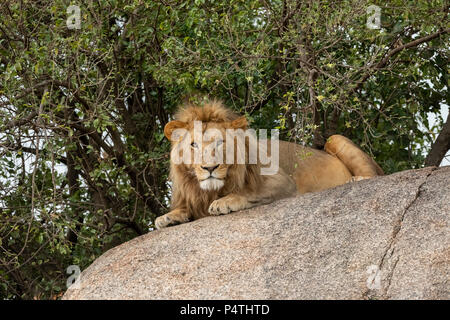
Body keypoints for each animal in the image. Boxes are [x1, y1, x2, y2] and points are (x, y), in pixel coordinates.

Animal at [156, 101, 384, 229]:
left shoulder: (284, 183)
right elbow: (185, 208)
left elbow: (248, 192)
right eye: (193, 145)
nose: (209, 168)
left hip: (336, 139)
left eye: (220, 142)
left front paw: (225, 202)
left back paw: (354, 180)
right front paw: (167, 217)